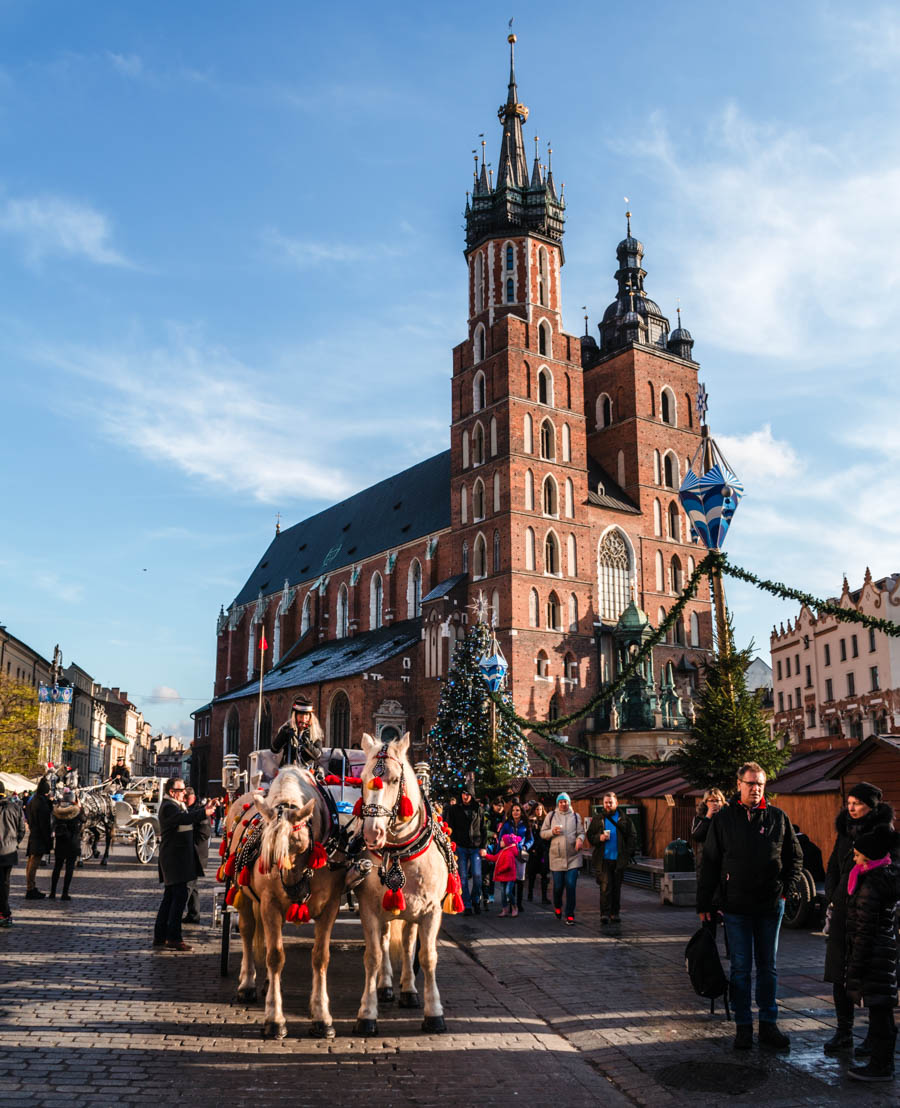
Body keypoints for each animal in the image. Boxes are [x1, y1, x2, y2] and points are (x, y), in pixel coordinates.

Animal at [225, 771, 348, 1037]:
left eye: (296, 842)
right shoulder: (269, 905)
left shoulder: (330, 907)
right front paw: (274, 1019)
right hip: (243, 895)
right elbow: (275, 957)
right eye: (266, 848)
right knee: (248, 933)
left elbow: (320, 957)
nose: (296, 892)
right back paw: (247, 984)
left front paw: (321, 1016)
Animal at [352, 731, 456, 1032]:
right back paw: (386, 986)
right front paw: (367, 1013)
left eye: (396, 779)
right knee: (387, 942)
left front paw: (434, 1013)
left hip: (411, 910)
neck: (398, 853)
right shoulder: (369, 910)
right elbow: (373, 956)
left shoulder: (431, 910)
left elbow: (427, 957)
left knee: (409, 944)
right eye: (362, 778)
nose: (372, 833)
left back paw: (408, 989)